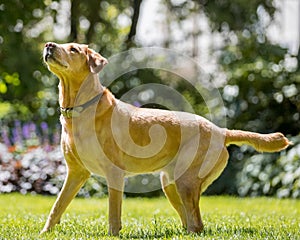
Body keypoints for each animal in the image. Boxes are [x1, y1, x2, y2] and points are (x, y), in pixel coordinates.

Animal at [41, 42, 290, 235]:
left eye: (73, 49)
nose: (48, 45)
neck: (79, 108)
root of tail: (220, 130)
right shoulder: (76, 172)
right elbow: (57, 206)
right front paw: (45, 232)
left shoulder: (114, 173)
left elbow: (113, 212)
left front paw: (113, 234)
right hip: (170, 183)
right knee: (189, 220)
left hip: (186, 182)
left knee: (197, 224)